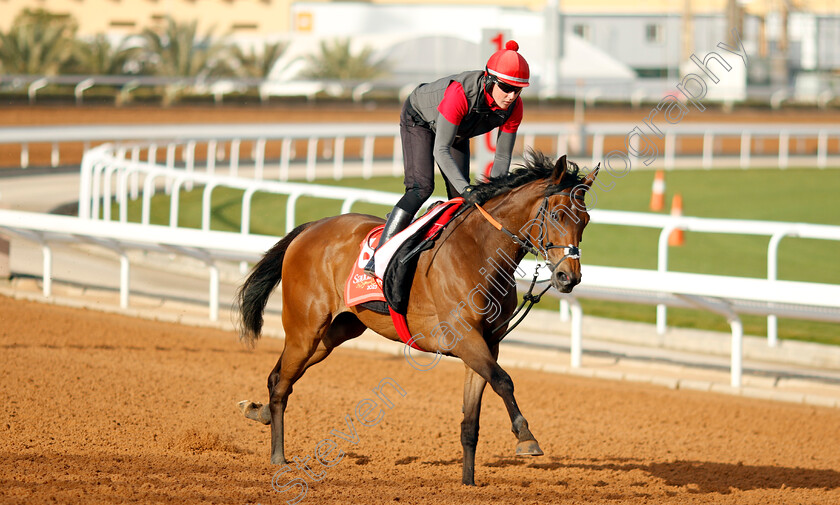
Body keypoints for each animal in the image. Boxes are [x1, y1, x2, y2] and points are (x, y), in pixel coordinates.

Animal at [236, 152, 596, 486]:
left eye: (586, 220)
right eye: (557, 214)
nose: (569, 277)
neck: (480, 253)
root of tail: (310, 227)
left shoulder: (486, 344)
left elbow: (472, 418)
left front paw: (468, 482)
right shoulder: (464, 337)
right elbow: (504, 380)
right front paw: (526, 438)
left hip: (335, 333)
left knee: (280, 375)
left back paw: (259, 411)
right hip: (305, 328)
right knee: (282, 382)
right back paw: (278, 456)